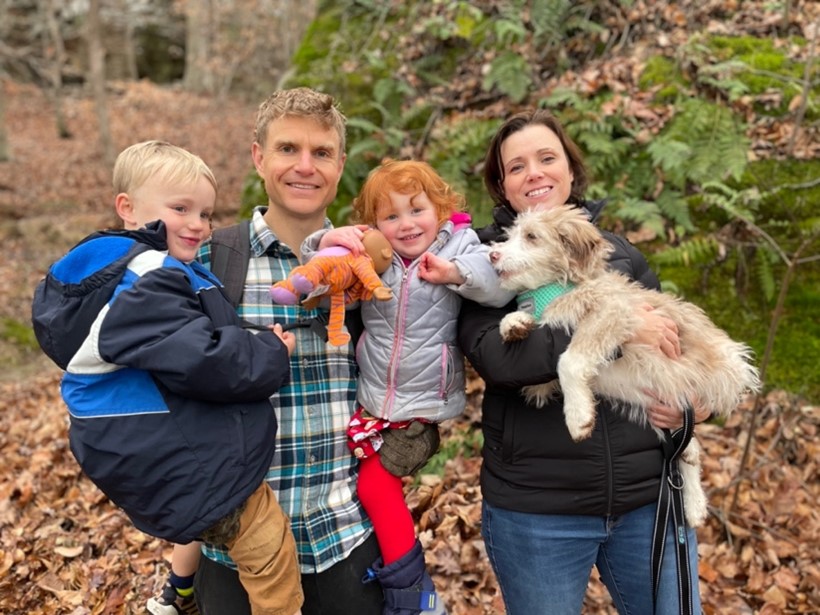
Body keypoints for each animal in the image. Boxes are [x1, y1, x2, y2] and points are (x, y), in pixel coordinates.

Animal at [486, 206, 764, 524]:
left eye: (532, 236)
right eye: (510, 234)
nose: (491, 255)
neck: (558, 288)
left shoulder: (614, 313)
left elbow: (567, 360)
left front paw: (578, 416)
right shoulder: (544, 375)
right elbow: (538, 350)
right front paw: (515, 323)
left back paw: (693, 504)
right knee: (686, 446)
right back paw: (694, 498)